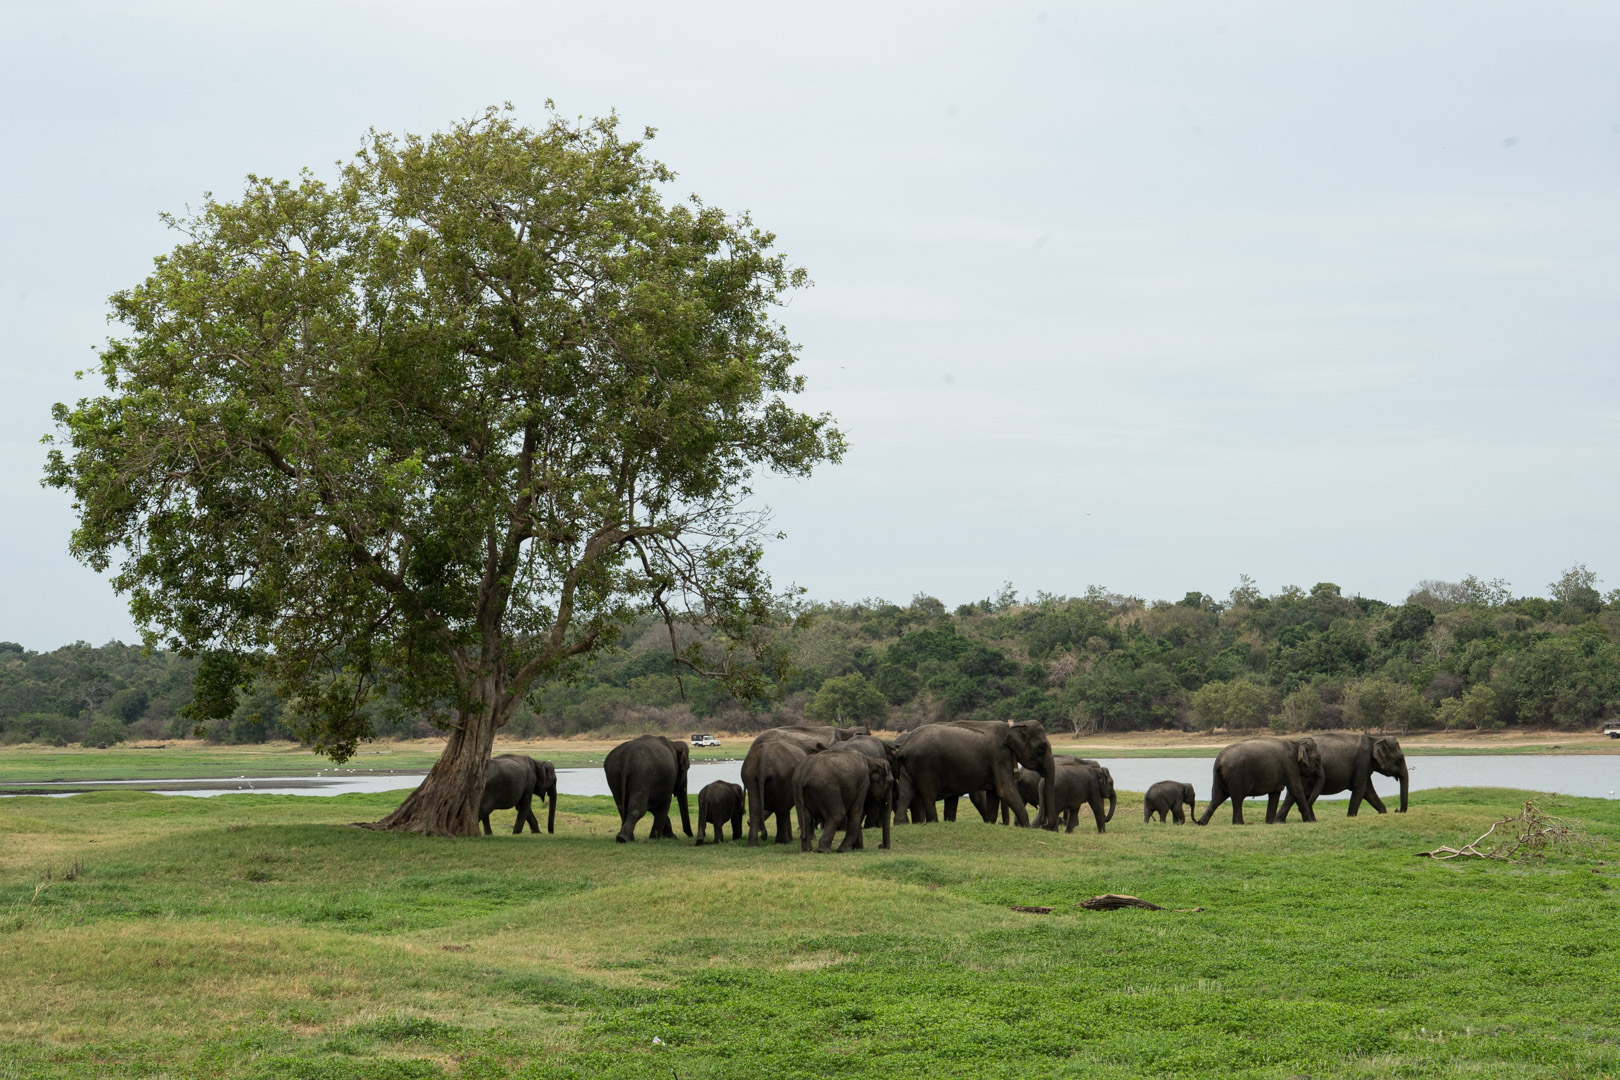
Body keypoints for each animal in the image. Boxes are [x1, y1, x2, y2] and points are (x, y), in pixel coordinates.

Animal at [892, 720, 1057, 829]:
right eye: (1042, 746)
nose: (1047, 826)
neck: (1013, 725)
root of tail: (904, 747)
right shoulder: (999, 756)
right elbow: (1004, 790)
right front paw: (1026, 827)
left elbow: (994, 793)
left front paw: (990, 823)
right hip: (925, 765)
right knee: (928, 794)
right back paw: (933, 823)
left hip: (908, 766)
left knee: (906, 792)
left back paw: (900, 824)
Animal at [1195, 737, 1323, 825]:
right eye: (1318, 758)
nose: (1314, 819)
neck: (1296, 743)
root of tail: (1219, 760)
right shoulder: (1289, 765)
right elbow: (1296, 789)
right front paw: (1309, 822)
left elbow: (1275, 793)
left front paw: (1270, 823)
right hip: (1236, 775)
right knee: (1237, 798)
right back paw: (1240, 823)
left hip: (1217, 776)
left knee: (1217, 797)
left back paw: (1201, 823)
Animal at [1276, 732, 1409, 820]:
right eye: (1399, 759)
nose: (1397, 810)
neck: (1375, 738)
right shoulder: (1362, 761)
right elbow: (1360, 788)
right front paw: (1351, 817)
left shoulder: (1364, 766)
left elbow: (1368, 791)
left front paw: (1383, 813)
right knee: (1292, 796)